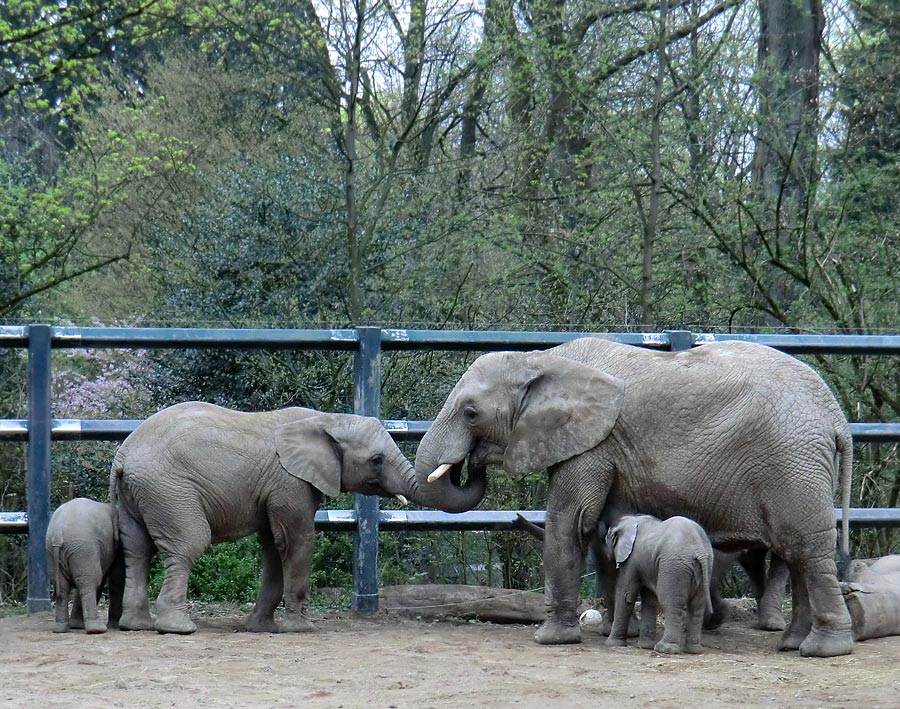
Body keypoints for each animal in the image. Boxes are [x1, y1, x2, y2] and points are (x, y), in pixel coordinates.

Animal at [45, 498, 124, 632]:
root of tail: (58, 533)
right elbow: (116, 577)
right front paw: (116, 626)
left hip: (55, 550)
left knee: (65, 586)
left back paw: (61, 629)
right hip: (83, 547)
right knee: (90, 581)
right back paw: (97, 629)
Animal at [112, 402, 422, 632]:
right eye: (377, 460)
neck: (327, 419)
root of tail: (123, 455)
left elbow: (273, 545)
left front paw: (259, 628)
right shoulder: (290, 482)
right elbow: (297, 540)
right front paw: (301, 629)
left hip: (138, 493)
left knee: (138, 550)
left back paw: (136, 625)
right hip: (169, 490)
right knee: (188, 544)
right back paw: (178, 628)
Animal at [604, 512, 712, 648]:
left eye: (607, 538)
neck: (632, 519)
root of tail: (699, 550)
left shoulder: (631, 559)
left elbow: (627, 594)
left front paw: (612, 644)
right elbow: (650, 599)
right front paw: (646, 646)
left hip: (674, 566)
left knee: (670, 602)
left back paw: (664, 648)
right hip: (705, 567)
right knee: (697, 605)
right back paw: (693, 649)